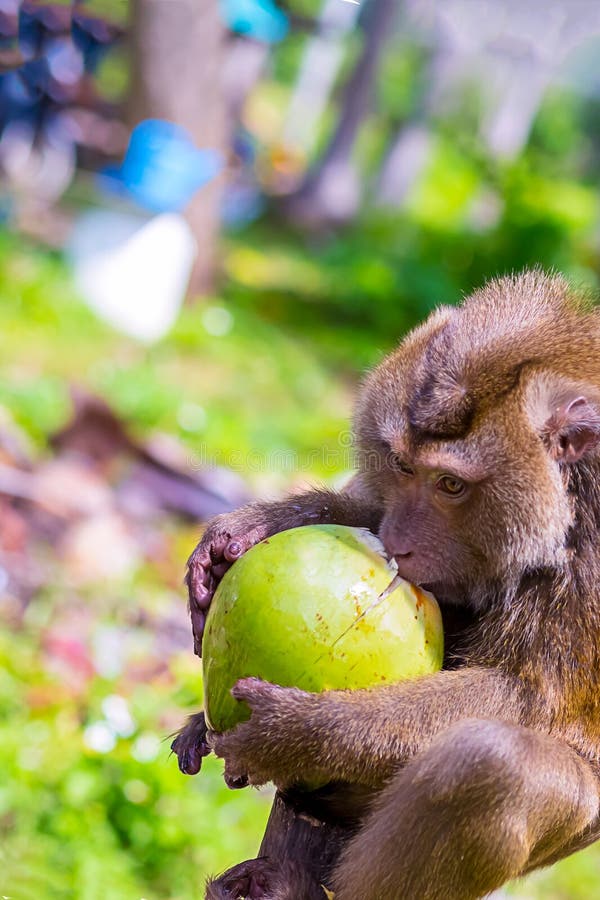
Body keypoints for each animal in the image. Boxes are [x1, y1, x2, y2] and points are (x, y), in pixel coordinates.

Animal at [173, 272, 600, 900]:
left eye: (451, 485)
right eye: (401, 466)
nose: (397, 542)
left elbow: (528, 701)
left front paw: (300, 731)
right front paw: (248, 531)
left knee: (497, 765)